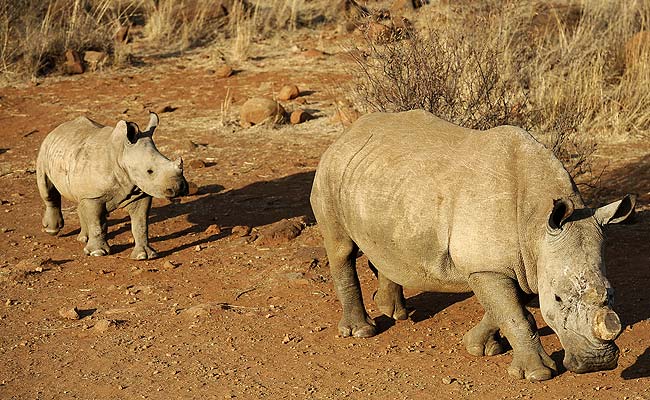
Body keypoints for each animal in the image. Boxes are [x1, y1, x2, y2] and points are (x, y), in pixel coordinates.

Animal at [36, 113, 188, 260]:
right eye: (149, 171)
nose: (179, 188)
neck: (122, 153)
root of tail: (57, 129)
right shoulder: (94, 195)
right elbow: (97, 223)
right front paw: (97, 253)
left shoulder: (140, 192)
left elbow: (140, 224)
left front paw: (144, 255)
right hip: (44, 151)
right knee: (48, 190)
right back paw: (52, 230)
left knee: (80, 199)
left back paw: (84, 239)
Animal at [310, 110, 635, 381]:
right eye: (557, 298)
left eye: (612, 293)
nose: (598, 363)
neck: (536, 221)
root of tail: (347, 134)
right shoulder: (488, 266)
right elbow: (515, 315)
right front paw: (537, 374)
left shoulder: (519, 262)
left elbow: (506, 308)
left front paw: (480, 347)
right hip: (331, 171)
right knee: (341, 248)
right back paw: (362, 332)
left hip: (382, 183)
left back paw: (395, 313)